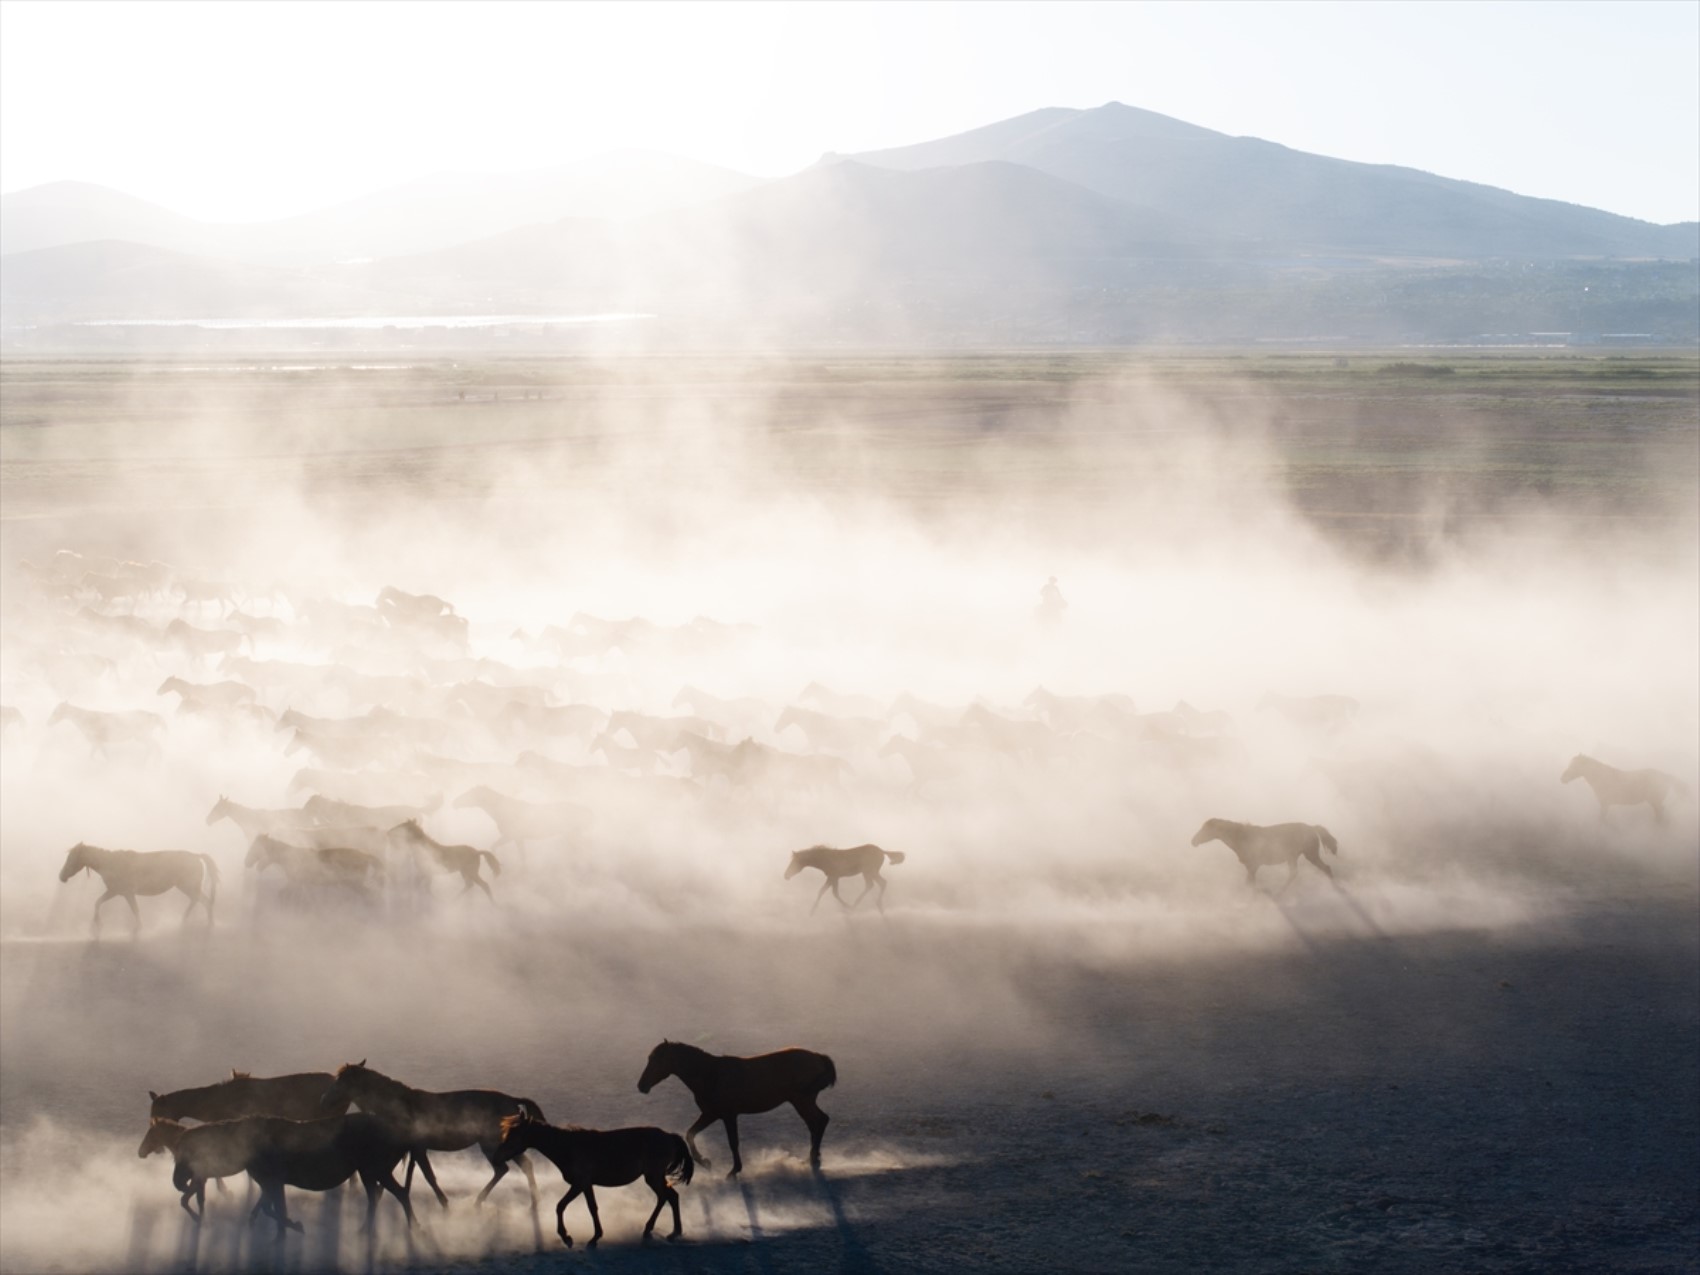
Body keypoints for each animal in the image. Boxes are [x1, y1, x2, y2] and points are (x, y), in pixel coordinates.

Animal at [57, 850, 219, 938]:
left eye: (71, 858)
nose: (61, 876)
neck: (109, 863)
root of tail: (196, 856)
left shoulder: (121, 892)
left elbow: (131, 909)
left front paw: (97, 926)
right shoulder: (121, 892)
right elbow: (101, 903)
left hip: (188, 886)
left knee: (203, 901)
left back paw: (207, 922)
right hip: (187, 887)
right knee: (199, 901)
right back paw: (187, 919)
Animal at [323, 1060, 544, 1210]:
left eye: (340, 1081)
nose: (324, 1099)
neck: (400, 1105)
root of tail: (512, 1100)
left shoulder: (418, 1148)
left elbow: (428, 1176)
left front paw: (444, 1204)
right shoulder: (411, 1149)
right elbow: (410, 1173)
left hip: (491, 1144)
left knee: (503, 1169)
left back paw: (479, 1201)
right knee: (523, 1166)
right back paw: (533, 1202)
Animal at [493, 1115, 690, 1251]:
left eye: (513, 1136)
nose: (497, 1157)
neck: (568, 1147)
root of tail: (669, 1136)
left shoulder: (579, 1183)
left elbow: (560, 1206)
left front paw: (567, 1237)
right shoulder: (586, 1185)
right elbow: (592, 1208)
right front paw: (595, 1237)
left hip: (653, 1176)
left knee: (665, 1197)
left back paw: (653, 1230)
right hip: (655, 1177)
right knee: (671, 1197)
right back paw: (672, 1232)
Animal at [639, 1040, 836, 1176]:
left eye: (656, 1061)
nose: (641, 1086)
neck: (711, 1075)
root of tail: (819, 1057)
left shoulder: (728, 1115)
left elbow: (733, 1142)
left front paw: (734, 1170)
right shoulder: (710, 1114)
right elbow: (690, 1133)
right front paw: (706, 1162)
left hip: (802, 1101)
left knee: (819, 1122)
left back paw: (813, 1158)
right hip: (803, 1102)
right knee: (817, 1123)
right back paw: (812, 1157)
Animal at [1190, 822, 1332, 890]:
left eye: (1205, 829)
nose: (1193, 841)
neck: (1242, 837)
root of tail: (1312, 828)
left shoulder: (1253, 866)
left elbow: (1250, 884)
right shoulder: (1251, 867)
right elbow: (1249, 883)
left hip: (1310, 855)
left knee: (1326, 868)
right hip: (1293, 857)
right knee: (1295, 873)